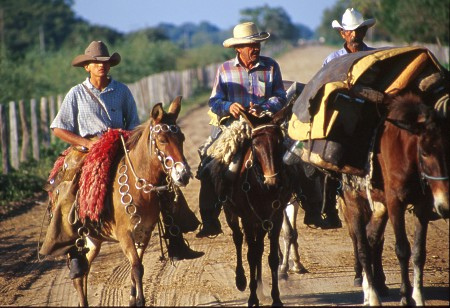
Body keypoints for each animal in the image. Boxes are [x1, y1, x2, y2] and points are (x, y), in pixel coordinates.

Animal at [71, 96, 192, 306]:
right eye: (162, 139)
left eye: (182, 138)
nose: (183, 175)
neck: (139, 188)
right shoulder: (125, 235)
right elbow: (136, 267)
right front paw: (139, 301)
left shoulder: (144, 232)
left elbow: (138, 267)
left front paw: (133, 299)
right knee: (80, 273)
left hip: (93, 240)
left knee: (85, 269)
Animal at [217, 107, 294, 306]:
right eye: (256, 144)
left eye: (279, 142)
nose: (273, 181)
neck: (262, 187)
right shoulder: (248, 219)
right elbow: (251, 256)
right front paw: (252, 298)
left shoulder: (275, 217)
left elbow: (272, 258)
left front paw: (276, 298)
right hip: (232, 213)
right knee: (238, 239)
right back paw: (242, 280)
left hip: (262, 222)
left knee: (259, 248)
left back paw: (259, 287)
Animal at [340, 92, 448, 306]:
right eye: (424, 152)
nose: (445, 207)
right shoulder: (395, 204)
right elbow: (402, 249)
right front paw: (405, 297)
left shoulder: (422, 205)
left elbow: (419, 252)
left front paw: (418, 297)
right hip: (353, 201)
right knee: (362, 246)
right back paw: (373, 296)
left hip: (378, 205)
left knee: (372, 238)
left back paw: (370, 290)